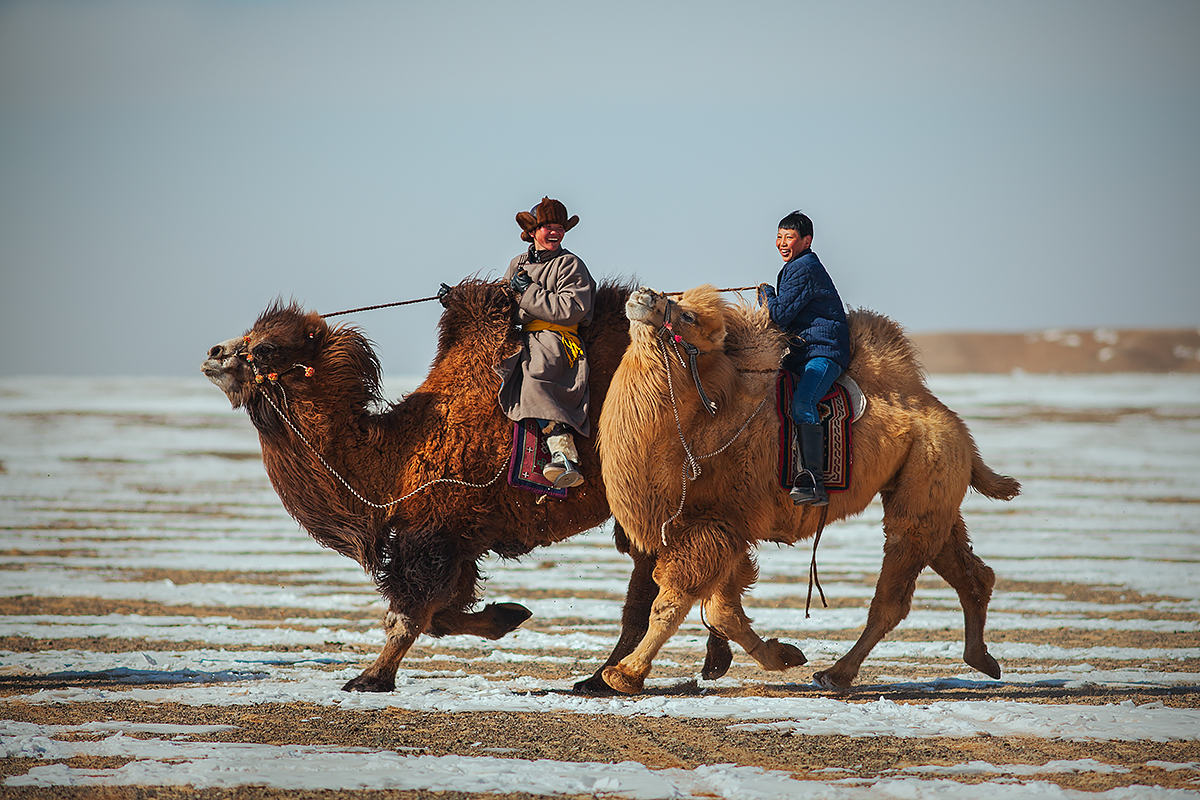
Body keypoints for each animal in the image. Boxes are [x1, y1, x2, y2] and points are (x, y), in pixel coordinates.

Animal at [200, 278, 724, 690]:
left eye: (265, 347)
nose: (212, 353)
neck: (394, 456)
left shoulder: (433, 534)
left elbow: (409, 614)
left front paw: (370, 679)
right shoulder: (460, 540)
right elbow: (440, 616)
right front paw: (508, 615)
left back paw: (614, 676)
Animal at [595, 286, 1017, 695]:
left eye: (687, 315)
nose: (644, 295)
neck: (698, 425)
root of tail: (950, 420)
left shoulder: (714, 526)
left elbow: (673, 603)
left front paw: (624, 674)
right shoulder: (719, 529)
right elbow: (722, 611)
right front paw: (783, 655)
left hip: (927, 473)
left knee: (893, 593)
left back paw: (837, 673)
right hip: (930, 490)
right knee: (970, 571)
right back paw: (981, 658)